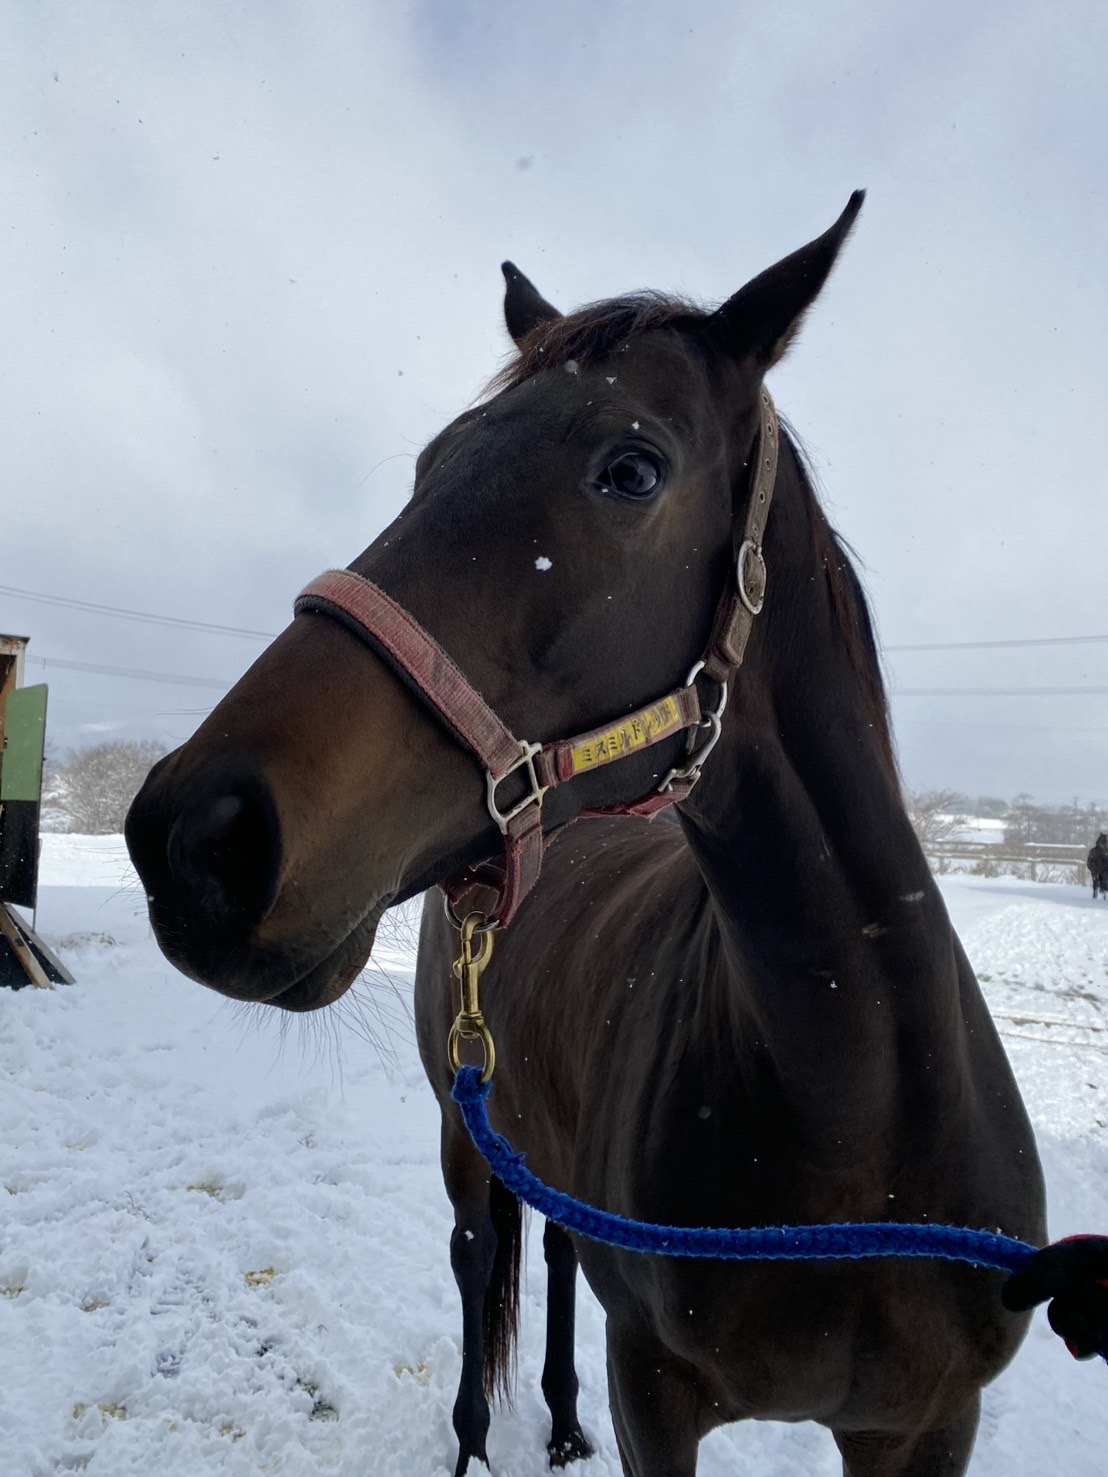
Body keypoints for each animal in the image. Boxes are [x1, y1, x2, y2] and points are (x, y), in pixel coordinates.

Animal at [125, 193, 1047, 1477]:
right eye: (428, 464)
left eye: (632, 469)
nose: (197, 835)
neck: (855, 1133)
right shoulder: (655, 1394)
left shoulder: (921, 1427)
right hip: (465, 1127)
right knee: (478, 1254)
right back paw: (476, 1439)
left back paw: (558, 1422)